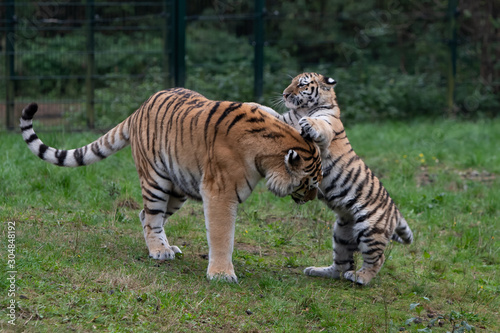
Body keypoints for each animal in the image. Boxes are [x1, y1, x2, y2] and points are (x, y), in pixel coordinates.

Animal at [20, 87, 320, 282]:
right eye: (308, 182)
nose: (313, 198)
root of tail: (139, 109)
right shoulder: (220, 193)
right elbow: (222, 234)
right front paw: (222, 274)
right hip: (156, 180)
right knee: (151, 215)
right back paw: (159, 251)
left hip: (178, 188)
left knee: (145, 215)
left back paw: (165, 247)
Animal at [252, 72, 412, 282]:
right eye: (291, 82)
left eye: (301, 85)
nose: (285, 94)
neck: (302, 110)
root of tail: (395, 210)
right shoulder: (286, 120)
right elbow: (271, 112)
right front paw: (252, 106)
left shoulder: (327, 125)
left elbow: (319, 124)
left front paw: (309, 123)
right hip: (342, 232)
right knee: (341, 264)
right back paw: (319, 271)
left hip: (370, 230)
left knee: (378, 258)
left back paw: (361, 277)